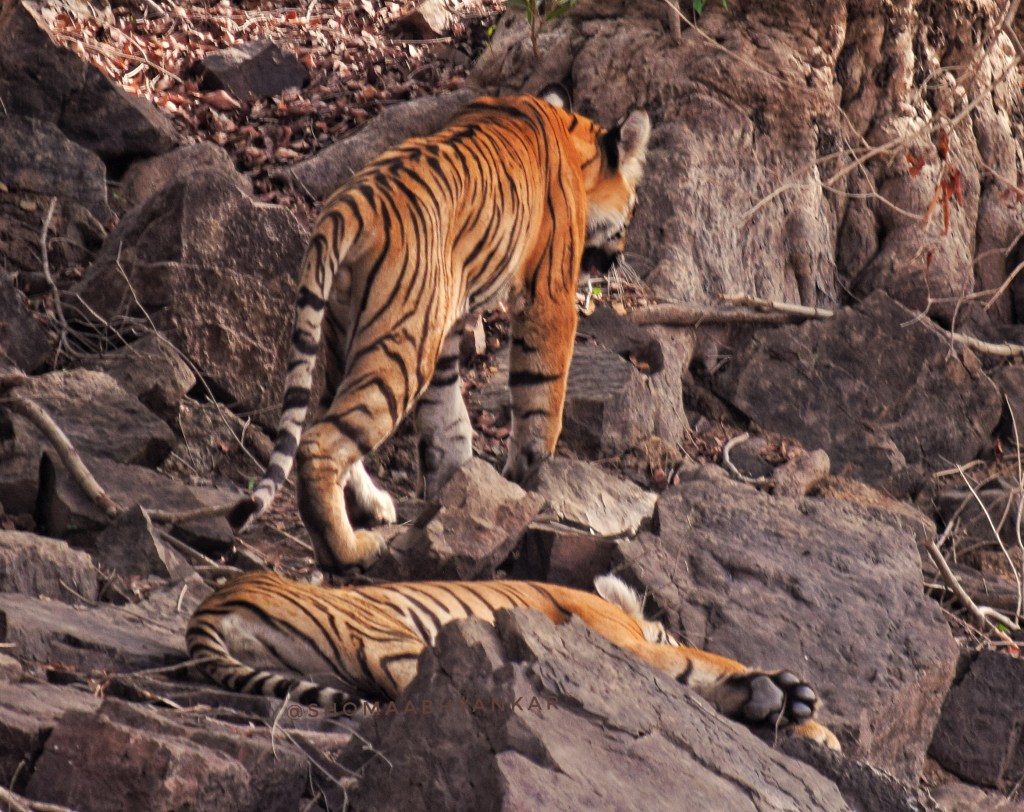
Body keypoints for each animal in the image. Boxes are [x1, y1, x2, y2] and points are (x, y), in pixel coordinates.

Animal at [228, 88, 652, 573]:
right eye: (633, 208)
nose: (619, 259)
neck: (572, 138)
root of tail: (350, 204)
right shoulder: (549, 296)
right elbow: (541, 395)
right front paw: (530, 477)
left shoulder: (447, 326)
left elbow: (444, 419)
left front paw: (456, 498)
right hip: (401, 347)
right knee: (320, 443)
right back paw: (347, 550)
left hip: (349, 331)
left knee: (324, 416)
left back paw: (373, 507)